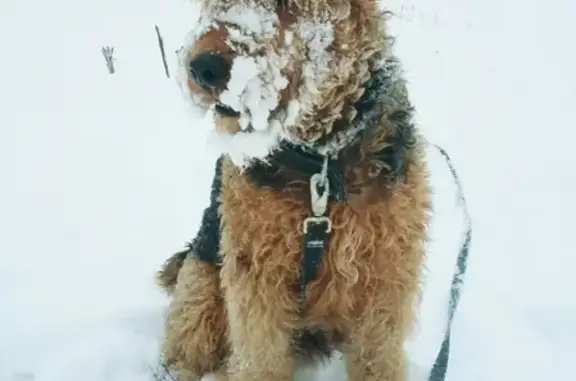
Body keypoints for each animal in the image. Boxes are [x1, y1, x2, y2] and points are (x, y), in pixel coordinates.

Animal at [156, 0, 468, 380]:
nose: (203, 68)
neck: (322, 160)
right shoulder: (258, 276)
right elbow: (260, 359)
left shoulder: (388, 277)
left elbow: (378, 356)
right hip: (201, 293)